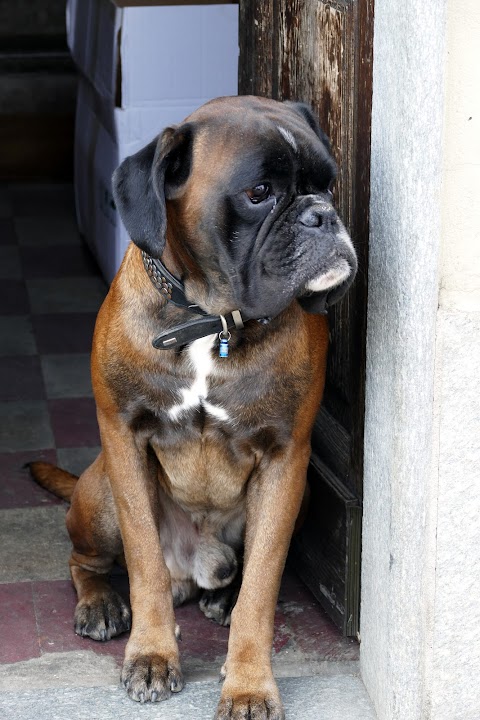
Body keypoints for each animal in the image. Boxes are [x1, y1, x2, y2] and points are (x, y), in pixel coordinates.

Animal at [29, 97, 352, 720]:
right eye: (259, 193)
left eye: (328, 184)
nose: (322, 215)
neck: (212, 319)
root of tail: (195, 568)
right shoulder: (124, 438)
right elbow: (144, 565)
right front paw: (152, 654)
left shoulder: (286, 461)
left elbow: (263, 588)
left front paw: (249, 682)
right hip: (100, 492)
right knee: (87, 562)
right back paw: (102, 602)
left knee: (240, 574)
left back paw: (221, 598)